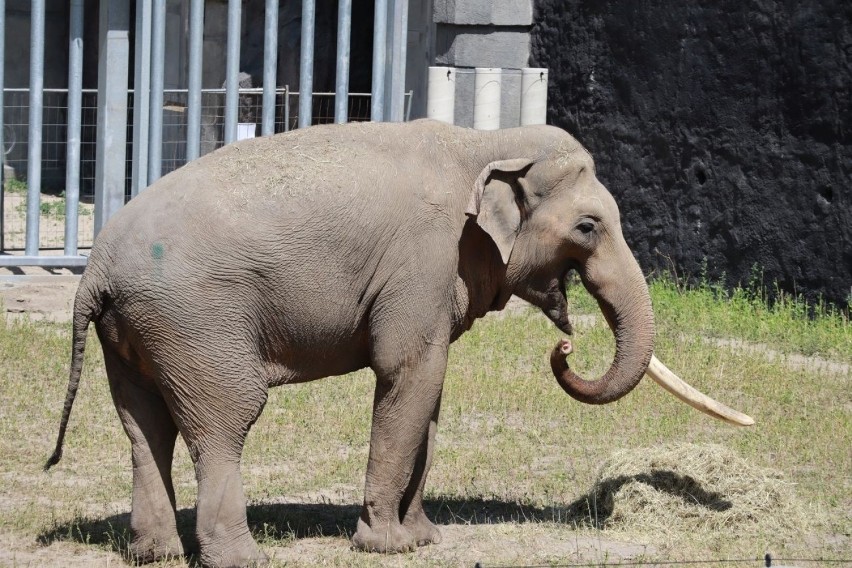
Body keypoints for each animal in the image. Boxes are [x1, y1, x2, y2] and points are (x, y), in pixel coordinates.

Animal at [45, 117, 752, 564]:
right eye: (588, 226)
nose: (566, 348)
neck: (485, 141)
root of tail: (95, 271)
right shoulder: (423, 261)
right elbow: (408, 372)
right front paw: (384, 546)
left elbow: (430, 391)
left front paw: (424, 540)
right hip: (195, 323)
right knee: (223, 422)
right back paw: (242, 558)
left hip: (136, 331)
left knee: (144, 427)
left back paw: (155, 553)